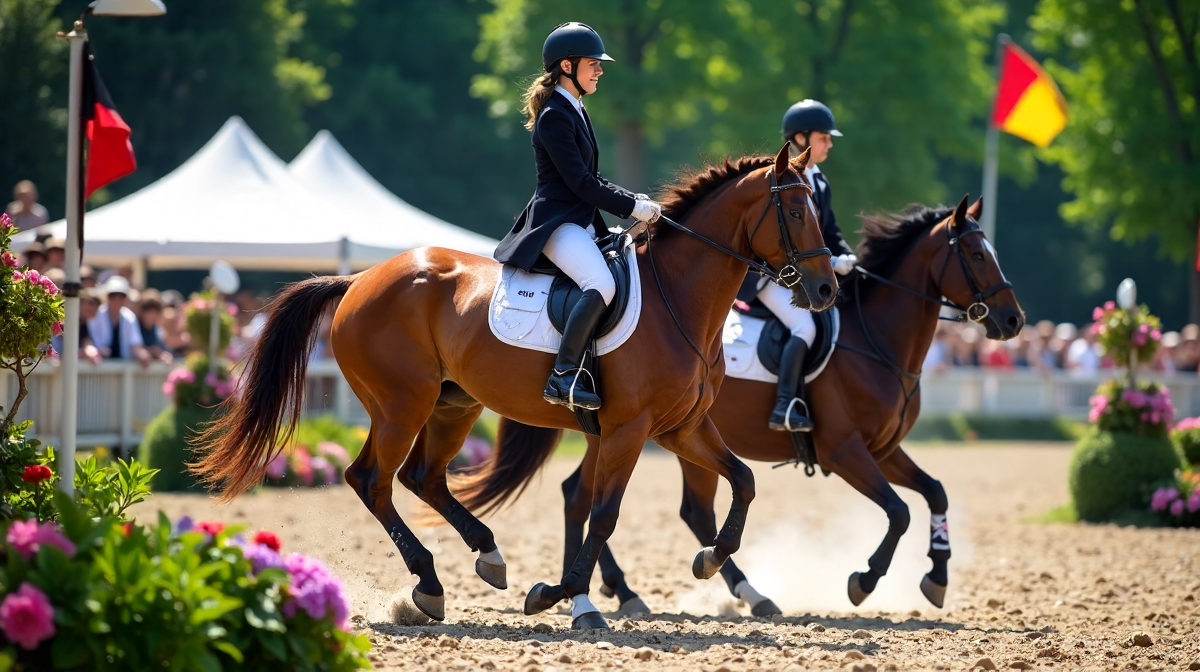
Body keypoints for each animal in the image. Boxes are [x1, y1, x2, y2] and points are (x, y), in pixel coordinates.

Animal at [191, 144, 838, 629]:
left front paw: (707, 562)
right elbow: (604, 513)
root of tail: (359, 279)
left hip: (453, 406)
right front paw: (563, 595)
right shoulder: (629, 429)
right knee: (371, 479)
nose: (827, 290)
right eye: (795, 211)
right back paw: (429, 583)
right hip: (402, 405)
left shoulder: (681, 427)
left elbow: (745, 480)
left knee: (421, 477)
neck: (676, 297)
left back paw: (484, 557)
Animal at [471, 196, 1024, 617]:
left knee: (623, 501)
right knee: (603, 499)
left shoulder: (884, 450)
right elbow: (899, 511)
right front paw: (864, 581)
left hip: (630, 433)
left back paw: (642, 590)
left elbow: (935, 493)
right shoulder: (845, 451)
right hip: (629, 432)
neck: (876, 342)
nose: (1014, 320)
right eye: (977, 255)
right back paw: (628, 591)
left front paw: (937, 578)